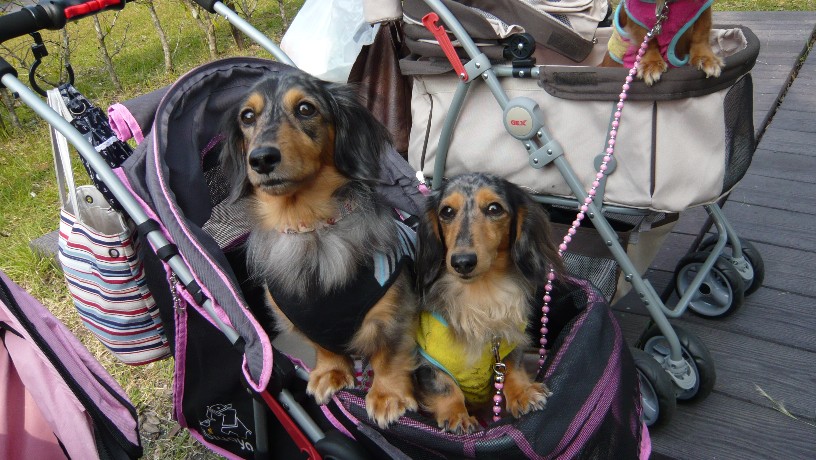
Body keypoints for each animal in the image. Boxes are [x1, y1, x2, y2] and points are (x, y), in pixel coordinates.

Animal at [220, 69, 418, 428]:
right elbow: (323, 347)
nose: (262, 159)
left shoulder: (393, 312)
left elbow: (389, 353)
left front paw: (388, 395)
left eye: (305, 109)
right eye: (247, 116)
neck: (308, 226)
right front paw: (331, 372)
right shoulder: (299, 318)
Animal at [413, 173, 565, 434]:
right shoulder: (426, 360)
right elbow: (445, 386)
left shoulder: (508, 346)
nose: (462, 262)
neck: (481, 294)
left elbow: (513, 367)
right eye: (447, 212)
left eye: (494, 208)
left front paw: (523, 393)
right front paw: (457, 415)